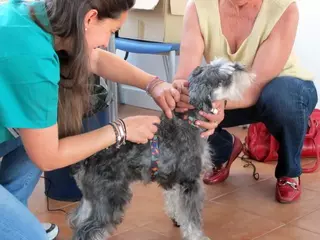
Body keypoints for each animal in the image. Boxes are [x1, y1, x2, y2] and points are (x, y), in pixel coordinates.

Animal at [69, 58, 254, 240]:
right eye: (227, 77)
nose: (245, 67)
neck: (189, 121)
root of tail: (88, 160)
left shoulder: (172, 180)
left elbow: (175, 203)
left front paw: (177, 219)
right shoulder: (190, 181)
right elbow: (192, 217)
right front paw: (197, 236)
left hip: (92, 199)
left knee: (77, 219)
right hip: (110, 198)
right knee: (87, 231)